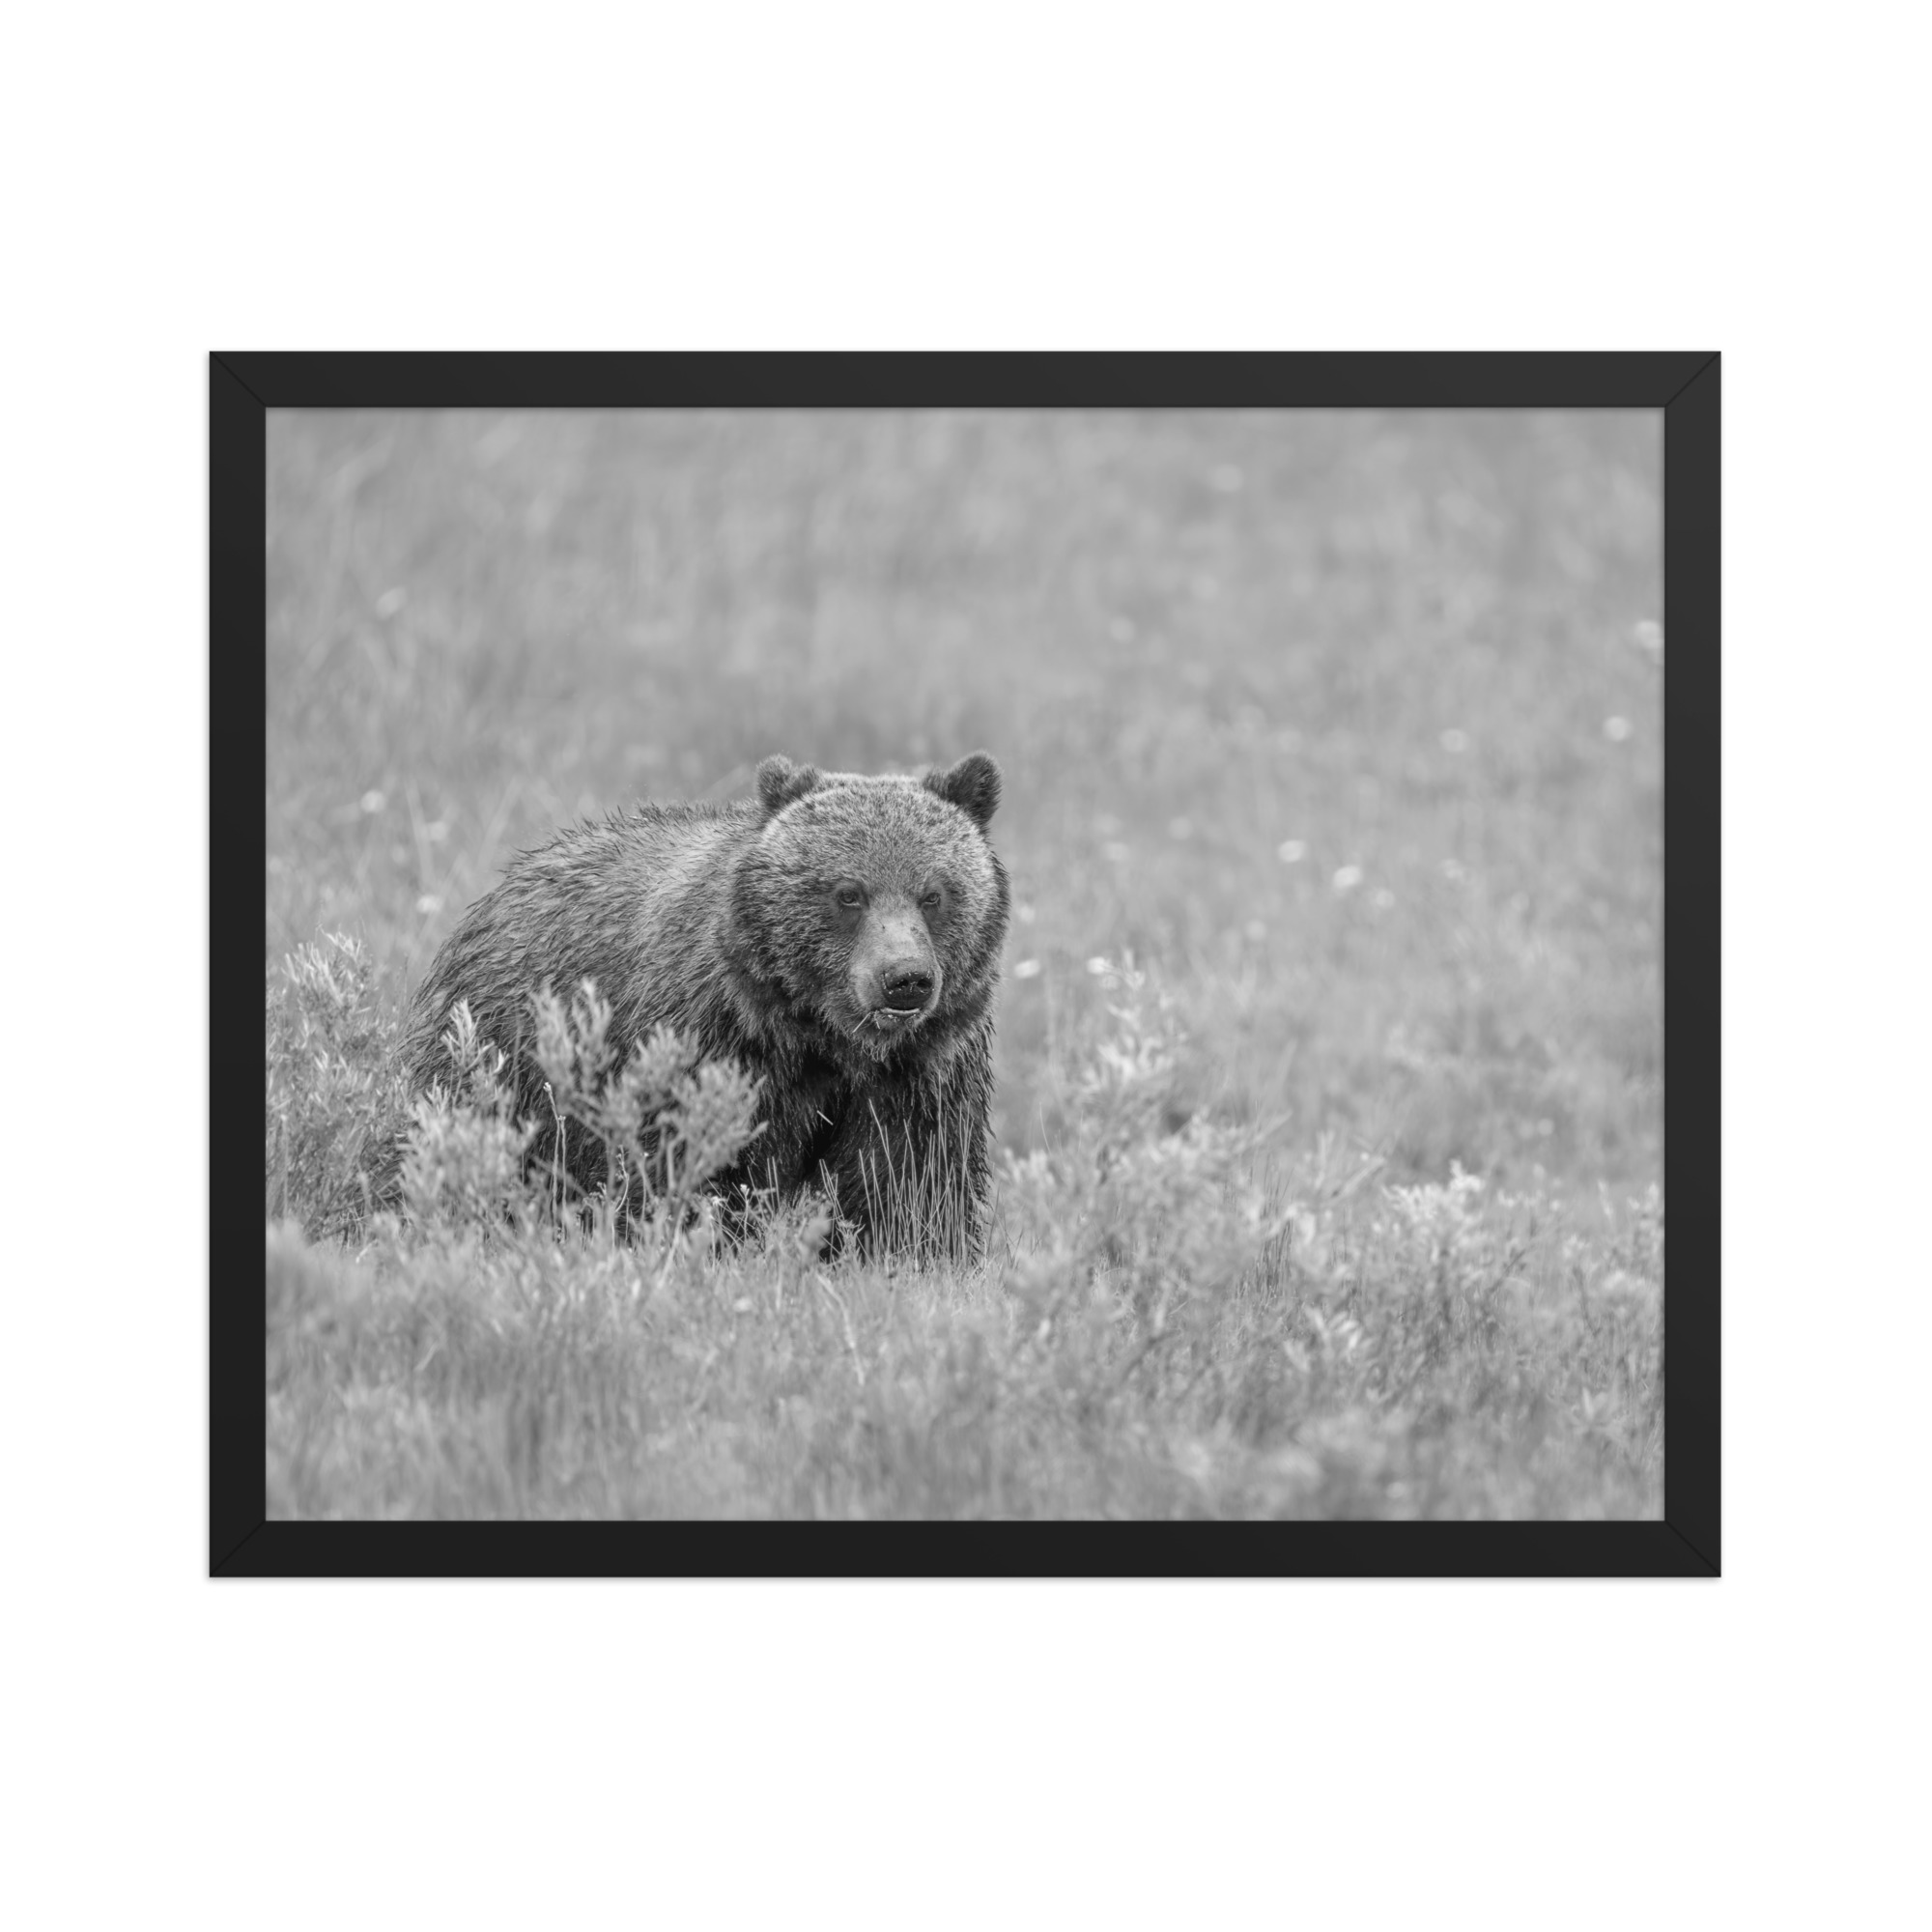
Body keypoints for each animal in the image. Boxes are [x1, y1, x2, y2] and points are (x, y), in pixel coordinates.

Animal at [399, 751, 1009, 1259]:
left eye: (934, 894)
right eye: (848, 893)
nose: (904, 980)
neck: (822, 1036)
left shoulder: (921, 1072)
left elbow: (910, 1184)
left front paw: (912, 1258)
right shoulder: (710, 1041)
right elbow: (689, 1165)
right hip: (502, 1056)